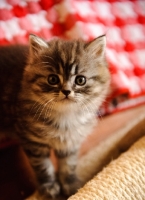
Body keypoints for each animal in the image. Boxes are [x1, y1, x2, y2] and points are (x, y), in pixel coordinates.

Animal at [0, 34, 110, 198]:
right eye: (52, 79)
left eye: (80, 80)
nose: (66, 91)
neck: (65, 117)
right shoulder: (33, 142)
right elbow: (43, 167)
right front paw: (49, 187)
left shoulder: (70, 142)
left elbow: (68, 165)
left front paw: (71, 185)